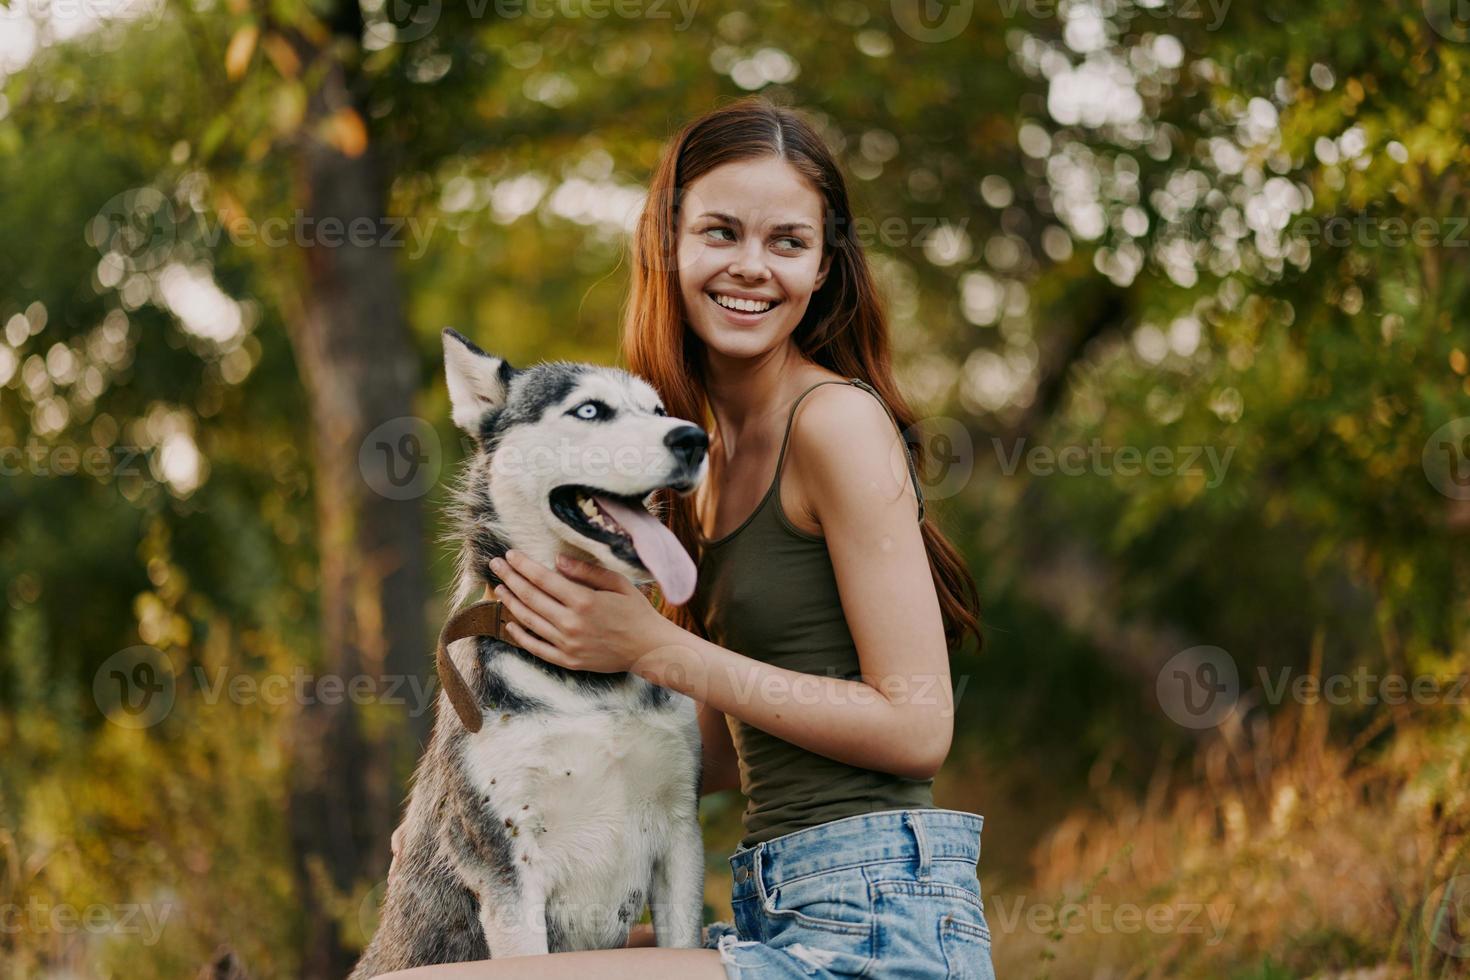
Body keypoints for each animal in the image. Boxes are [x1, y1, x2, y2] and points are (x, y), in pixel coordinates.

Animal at [349, 332, 705, 980]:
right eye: (589, 410)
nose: (694, 439)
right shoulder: (505, 866)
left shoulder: (679, 835)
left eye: (659, 411)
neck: (591, 685)